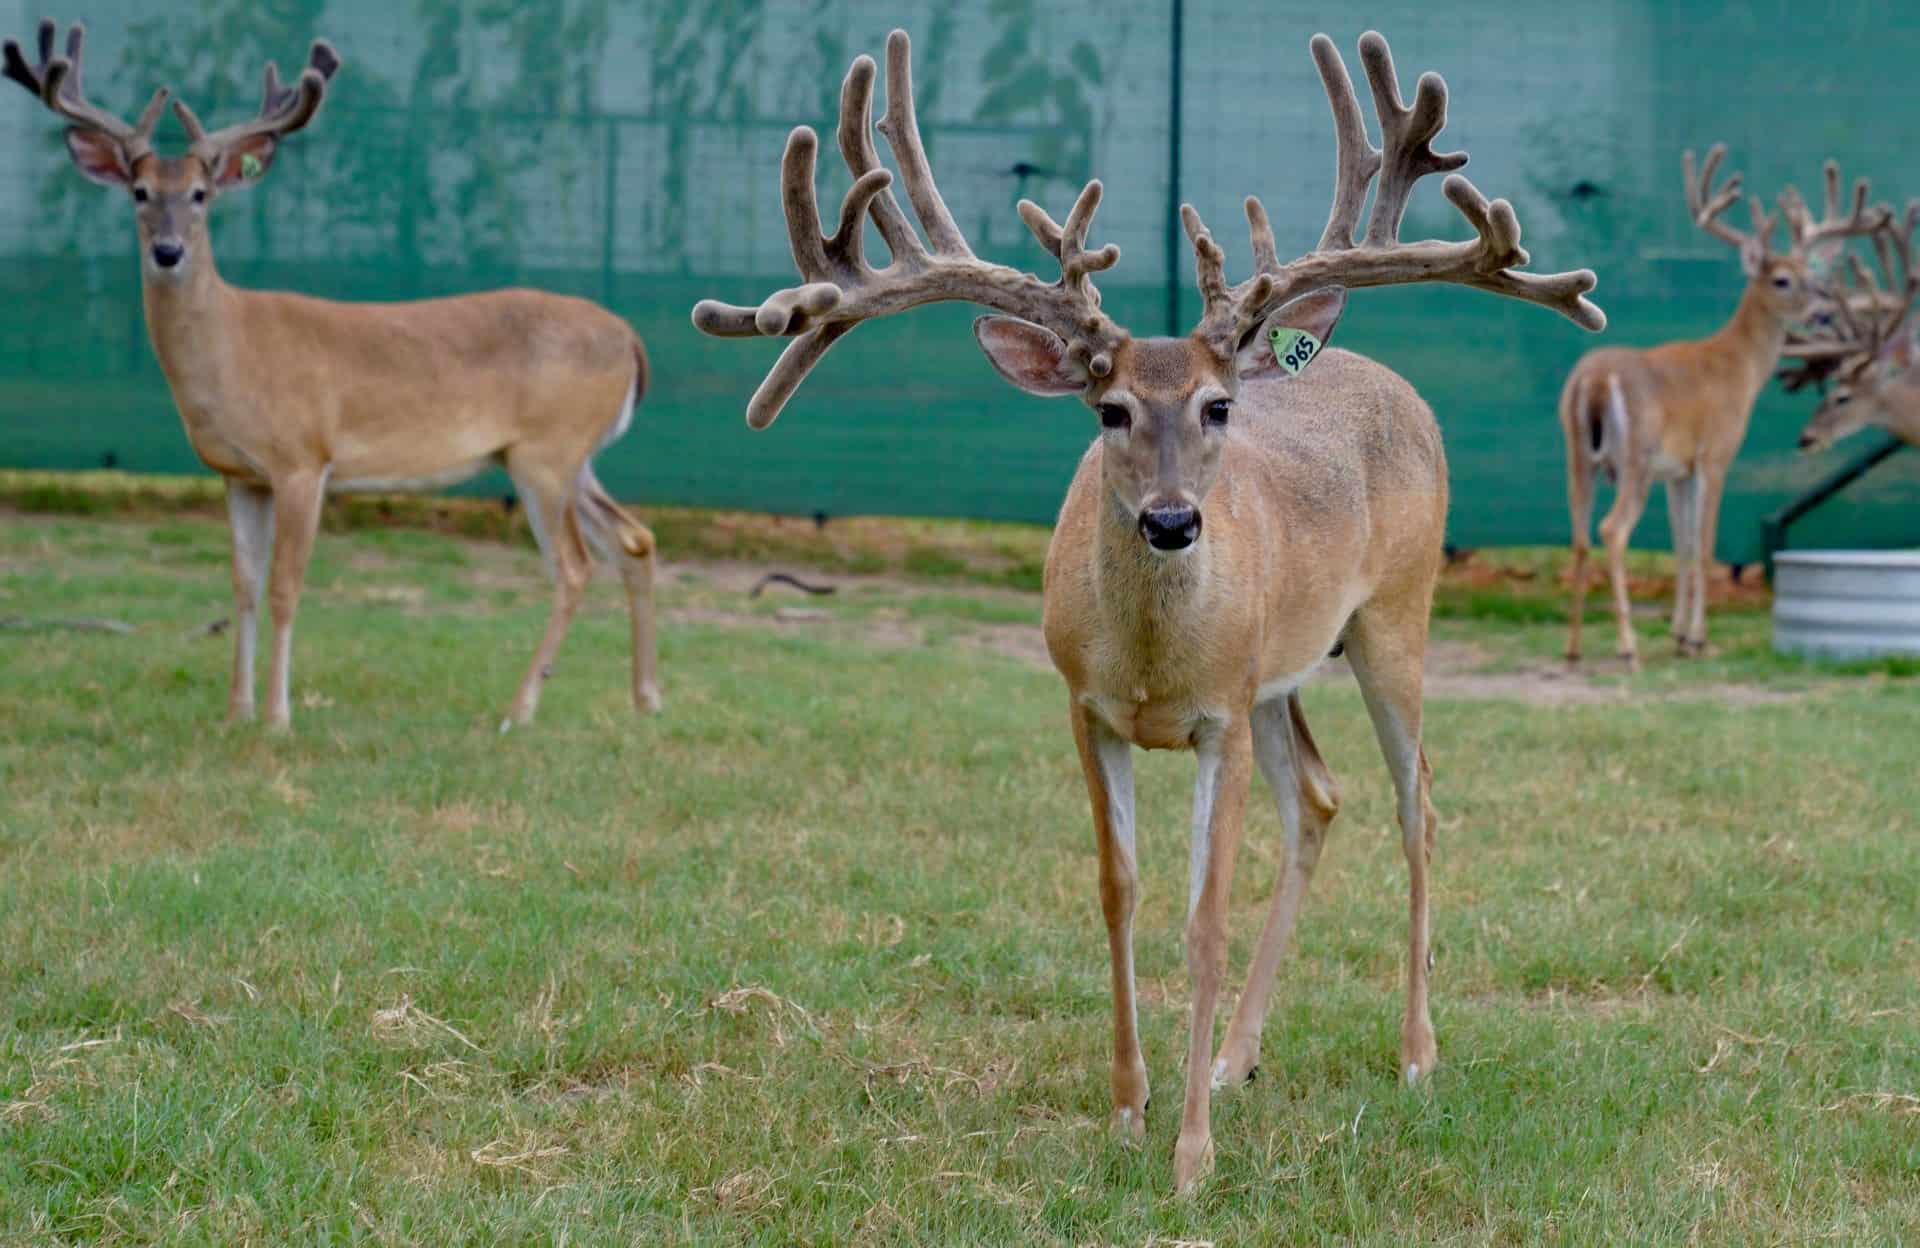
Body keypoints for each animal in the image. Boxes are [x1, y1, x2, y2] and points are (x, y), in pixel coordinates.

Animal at [3, 19, 662, 731]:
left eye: (201, 195)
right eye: (139, 191)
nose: (168, 251)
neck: (235, 350)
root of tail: (631, 341)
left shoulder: (302, 459)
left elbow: (286, 588)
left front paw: (277, 717)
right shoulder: (239, 474)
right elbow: (243, 585)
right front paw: (234, 712)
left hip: (546, 451)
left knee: (574, 566)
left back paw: (519, 710)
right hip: (570, 456)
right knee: (634, 538)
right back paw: (645, 697)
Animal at [692, 28, 1604, 1192]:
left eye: (1216, 406)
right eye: (1109, 409)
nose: (1173, 521)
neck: (1155, 666)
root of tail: (1386, 378)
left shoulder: (1217, 715)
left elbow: (1203, 915)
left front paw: (1189, 1156)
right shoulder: (1090, 707)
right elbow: (1118, 891)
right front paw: (1132, 1111)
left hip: (1396, 615)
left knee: (1421, 804)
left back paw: (1414, 1054)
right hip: (1282, 672)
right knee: (1319, 798)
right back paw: (1235, 1058)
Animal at [1559, 146, 1886, 668]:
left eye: (1812, 274)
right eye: (1783, 279)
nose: (1825, 310)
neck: (1739, 368)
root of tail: (1593, 381)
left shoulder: (1676, 470)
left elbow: (1683, 545)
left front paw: (1677, 633)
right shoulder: (1714, 455)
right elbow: (1706, 543)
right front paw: (1696, 638)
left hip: (1579, 458)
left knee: (1580, 534)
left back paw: (1573, 648)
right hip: (1634, 457)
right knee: (1612, 530)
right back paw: (1628, 647)